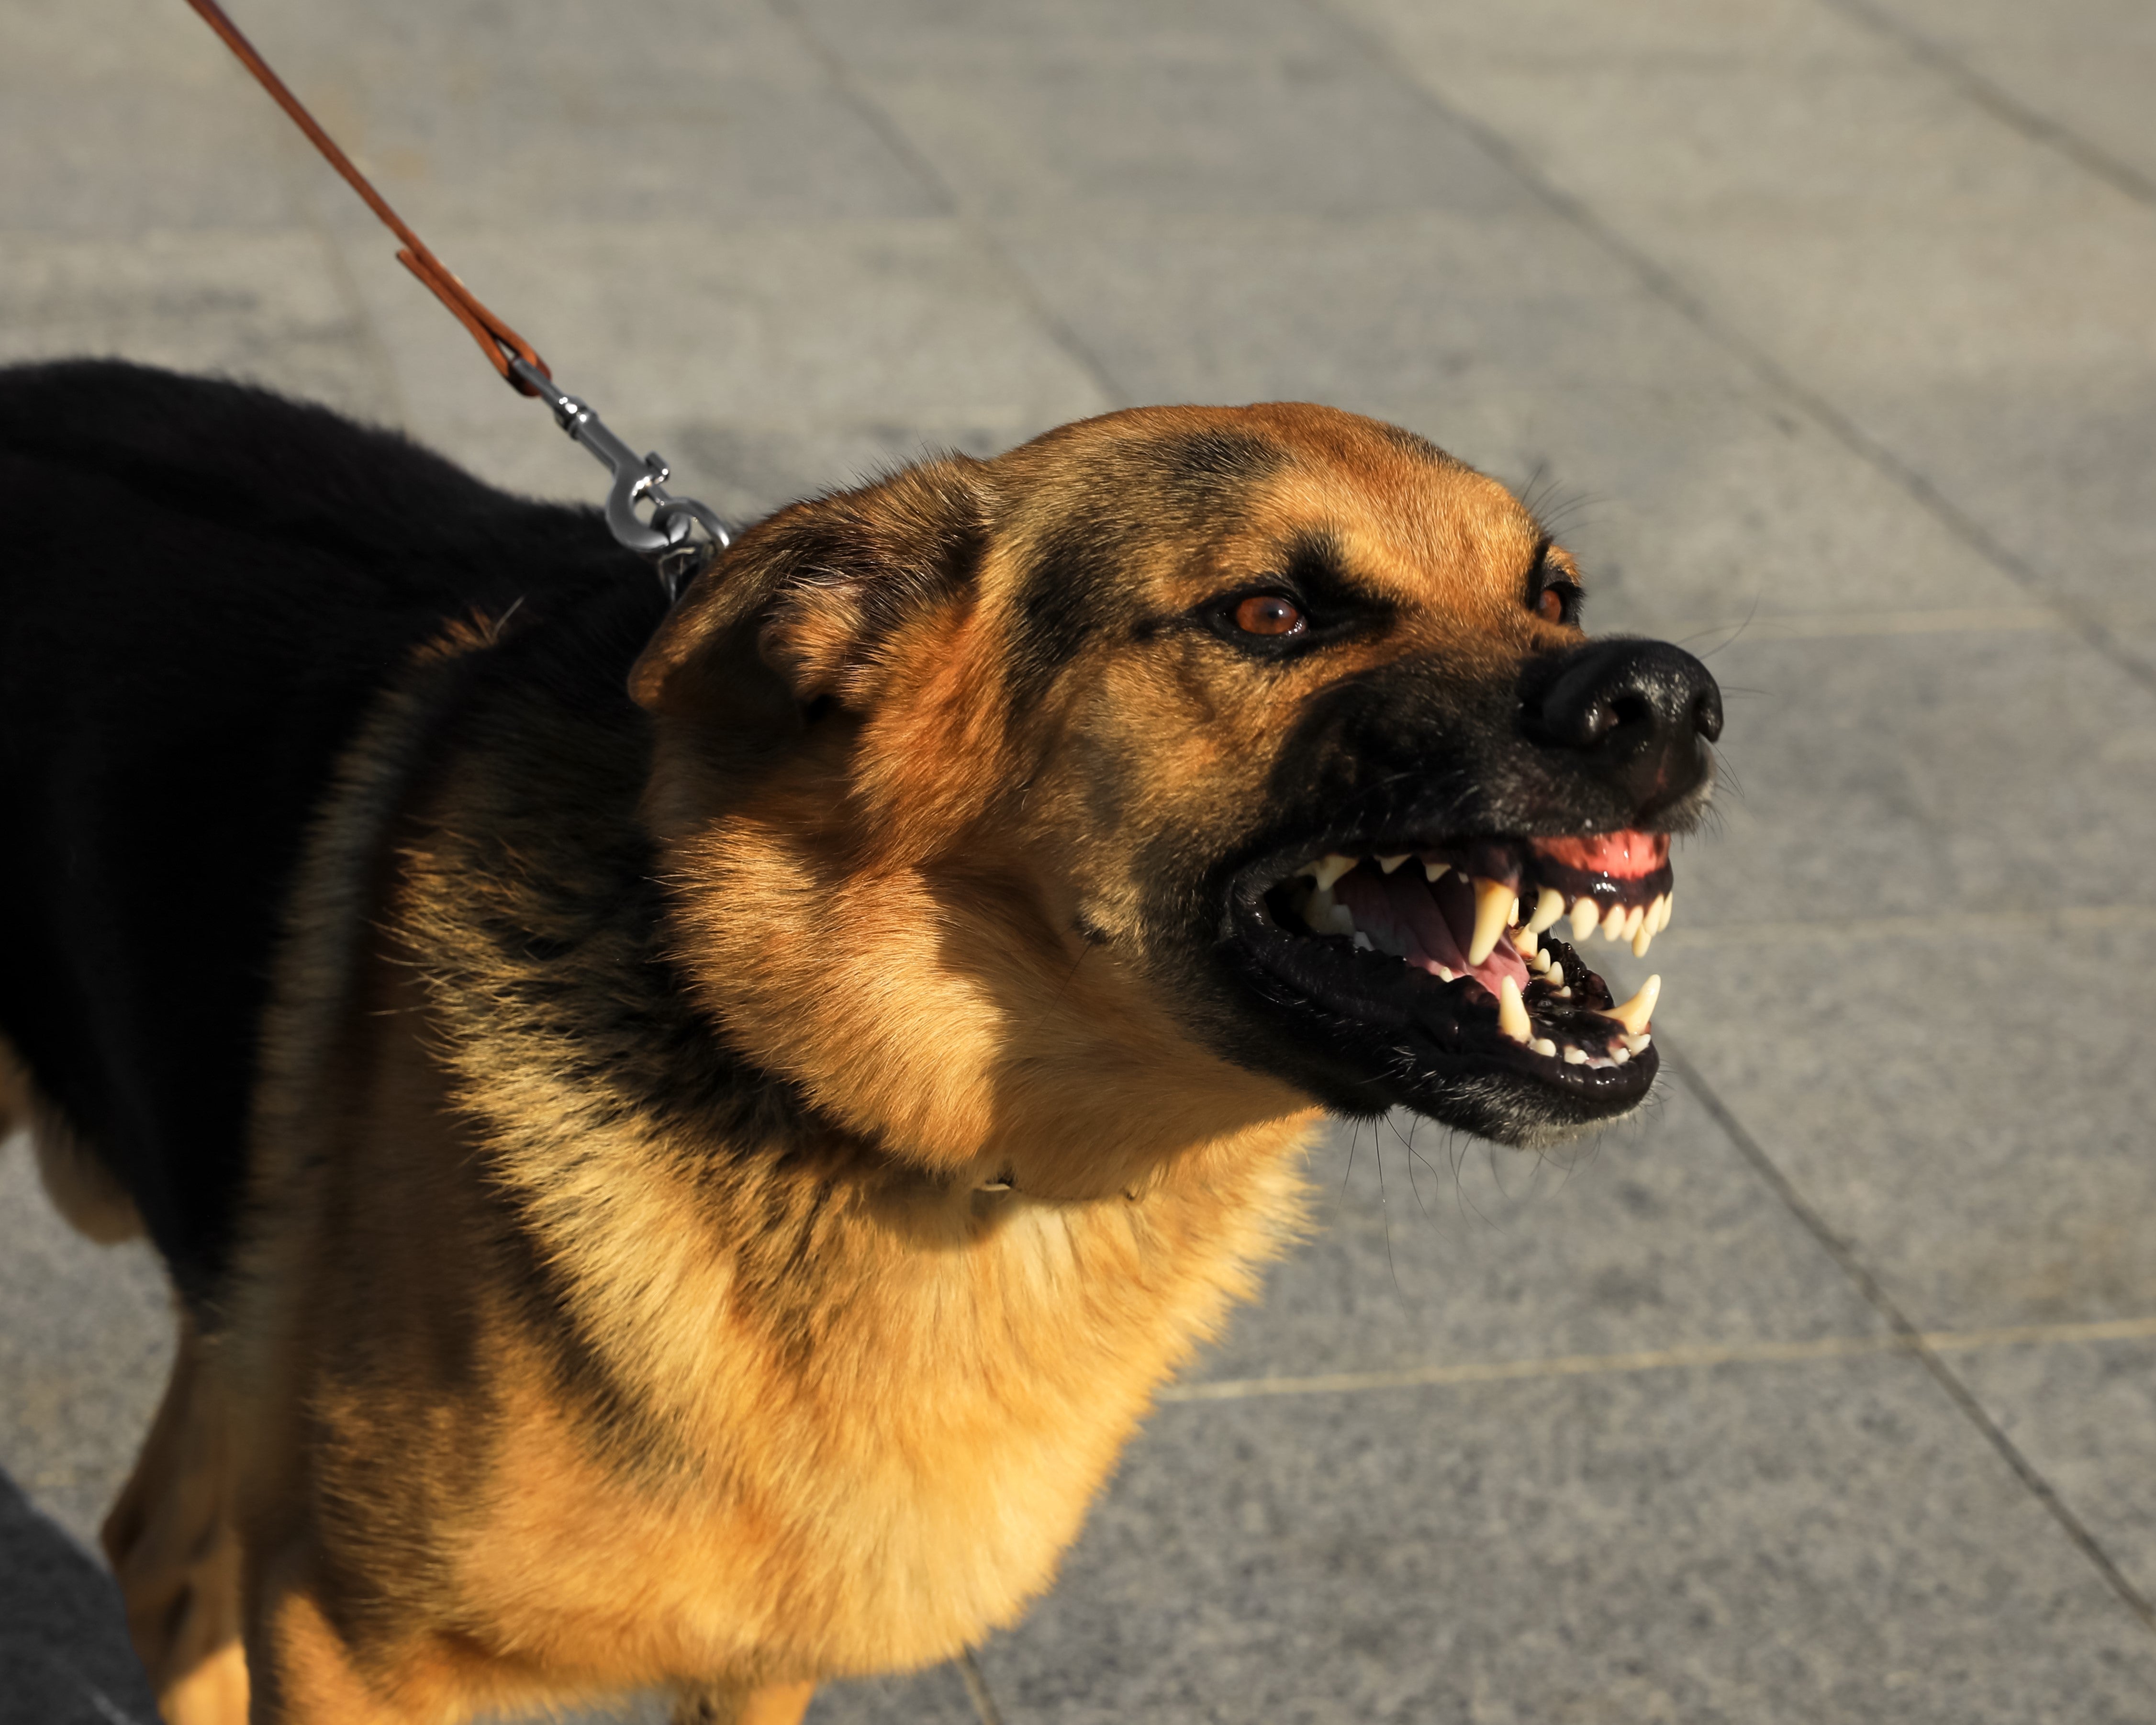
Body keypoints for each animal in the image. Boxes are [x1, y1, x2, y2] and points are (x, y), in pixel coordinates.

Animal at [0, 358, 1716, 1716]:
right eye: (1273, 613)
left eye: (1551, 594)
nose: (1667, 698)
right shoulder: (350, 1644)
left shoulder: (755, 1666)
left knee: (159, 1552)